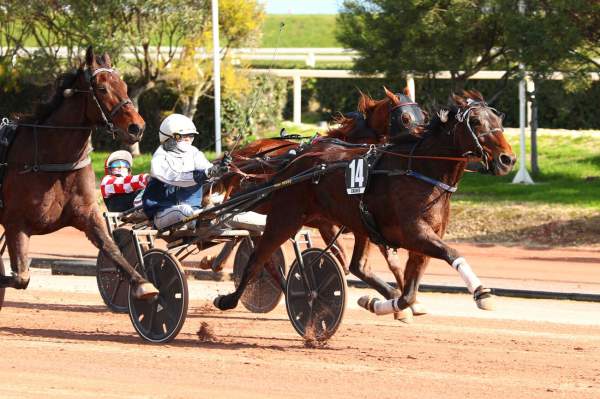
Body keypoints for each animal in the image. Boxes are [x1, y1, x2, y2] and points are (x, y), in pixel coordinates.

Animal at [0, 47, 158, 300]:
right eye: (102, 88)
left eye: (124, 85)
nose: (137, 127)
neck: (50, 157)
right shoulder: (16, 222)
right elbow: (21, 277)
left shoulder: (85, 213)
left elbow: (111, 247)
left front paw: (141, 283)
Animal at [214, 90, 516, 322]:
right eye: (475, 121)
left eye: (498, 119)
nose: (507, 159)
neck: (420, 170)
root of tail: (292, 162)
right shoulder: (415, 233)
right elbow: (451, 253)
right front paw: (482, 293)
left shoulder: (413, 239)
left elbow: (406, 290)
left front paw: (385, 304)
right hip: (285, 218)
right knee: (256, 255)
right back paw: (229, 297)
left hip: (351, 224)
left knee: (356, 265)